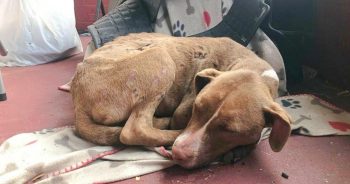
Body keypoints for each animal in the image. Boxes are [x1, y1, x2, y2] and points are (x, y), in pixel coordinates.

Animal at [69, 32, 292, 168]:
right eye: (197, 108)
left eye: (229, 130)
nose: (180, 152)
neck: (253, 69)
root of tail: (77, 99)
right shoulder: (182, 112)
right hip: (161, 58)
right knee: (134, 129)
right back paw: (167, 130)